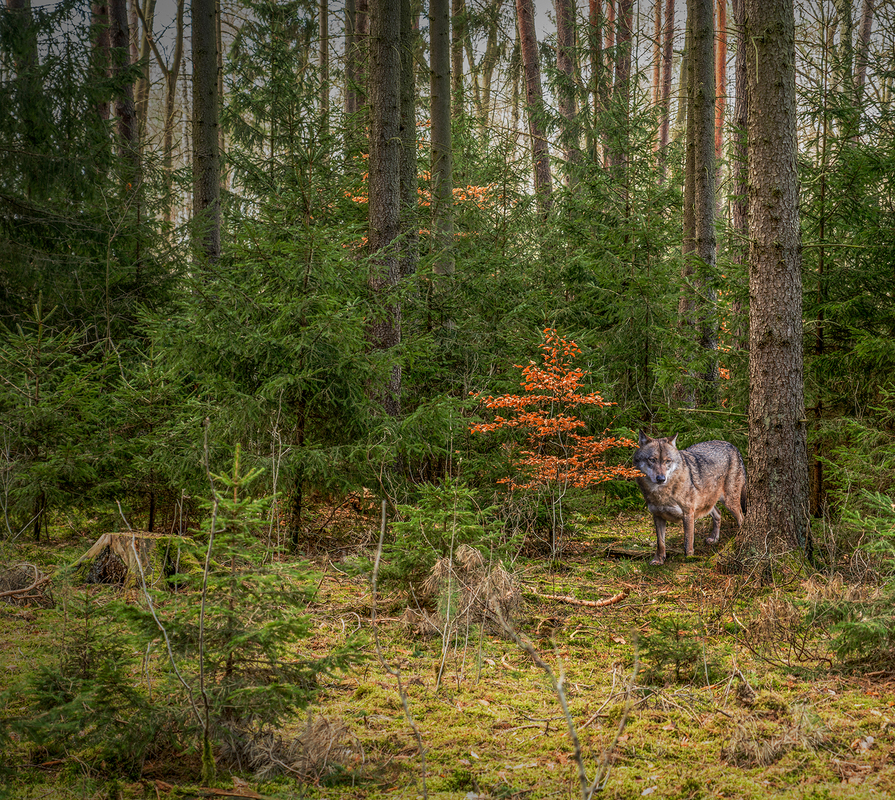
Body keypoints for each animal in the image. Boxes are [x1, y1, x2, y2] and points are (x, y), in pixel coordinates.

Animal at [633, 432, 747, 565]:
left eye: (667, 461)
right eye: (652, 459)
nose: (661, 479)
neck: (661, 494)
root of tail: (732, 446)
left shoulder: (688, 513)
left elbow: (688, 541)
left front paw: (689, 558)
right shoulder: (657, 515)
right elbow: (660, 543)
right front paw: (659, 560)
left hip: (730, 503)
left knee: (742, 519)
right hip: (706, 503)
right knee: (718, 514)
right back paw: (714, 539)